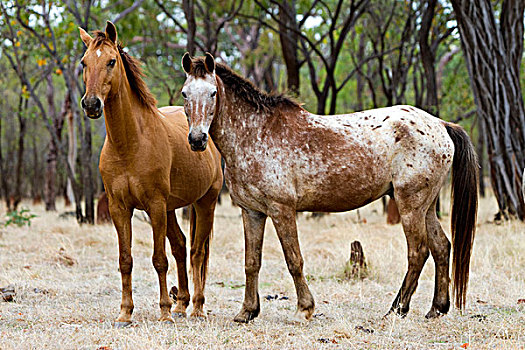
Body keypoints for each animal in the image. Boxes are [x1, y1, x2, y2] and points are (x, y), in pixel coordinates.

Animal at [79, 23, 222, 326]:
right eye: (84, 62)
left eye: (111, 61)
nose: (92, 105)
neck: (130, 143)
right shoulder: (119, 208)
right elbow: (126, 260)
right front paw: (125, 312)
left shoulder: (154, 205)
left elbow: (159, 259)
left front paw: (164, 312)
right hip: (170, 209)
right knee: (181, 246)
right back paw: (182, 304)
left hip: (204, 203)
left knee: (198, 252)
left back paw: (196, 308)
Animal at [179, 52, 474, 322]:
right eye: (184, 94)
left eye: (213, 92)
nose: (197, 139)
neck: (255, 133)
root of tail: (441, 125)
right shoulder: (252, 211)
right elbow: (252, 262)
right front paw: (247, 312)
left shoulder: (281, 209)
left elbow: (294, 260)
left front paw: (304, 308)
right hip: (426, 206)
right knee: (441, 247)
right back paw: (436, 308)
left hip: (410, 204)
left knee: (418, 252)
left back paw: (397, 309)